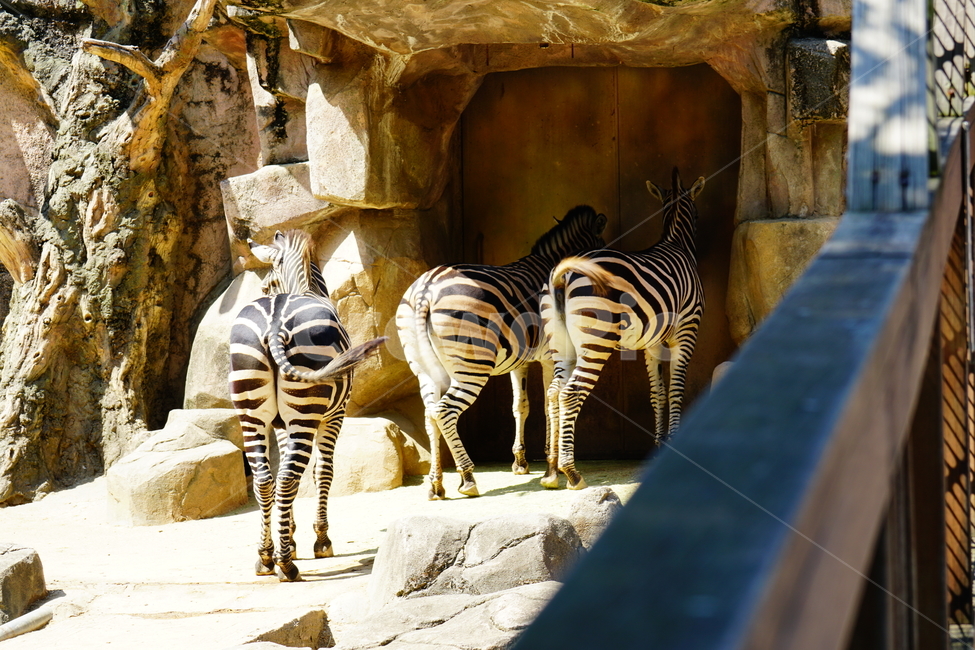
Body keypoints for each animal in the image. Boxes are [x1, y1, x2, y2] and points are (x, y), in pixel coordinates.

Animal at [229, 229, 386, 581]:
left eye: (266, 285)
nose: (265, 291)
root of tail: (275, 322)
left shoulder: (280, 424)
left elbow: (286, 474)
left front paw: (288, 536)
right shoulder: (334, 415)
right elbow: (323, 471)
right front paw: (319, 540)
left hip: (251, 411)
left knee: (265, 480)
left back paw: (266, 557)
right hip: (307, 410)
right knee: (289, 477)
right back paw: (287, 565)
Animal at [396, 205, 608, 500]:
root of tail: (426, 288)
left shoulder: (519, 360)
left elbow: (521, 405)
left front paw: (520, 462)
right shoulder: (548, 357)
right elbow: (547, 406)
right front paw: (550, 468)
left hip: (424, 369)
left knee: (430, 416)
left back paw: (436, 484)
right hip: (471, 366)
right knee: (446, 411)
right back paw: (467, 478)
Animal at [541, 168, 706, 489]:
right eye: (697, 214)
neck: (676, 242)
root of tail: (565, 271)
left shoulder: (653, 342)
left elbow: (658, 392)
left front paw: (659, 448)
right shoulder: (686, 332)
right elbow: (676, 389)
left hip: (561, 344)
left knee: (554, 392)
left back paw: (552, 471)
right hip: (596, 342)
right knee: (570, 393)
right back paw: (571, 472)